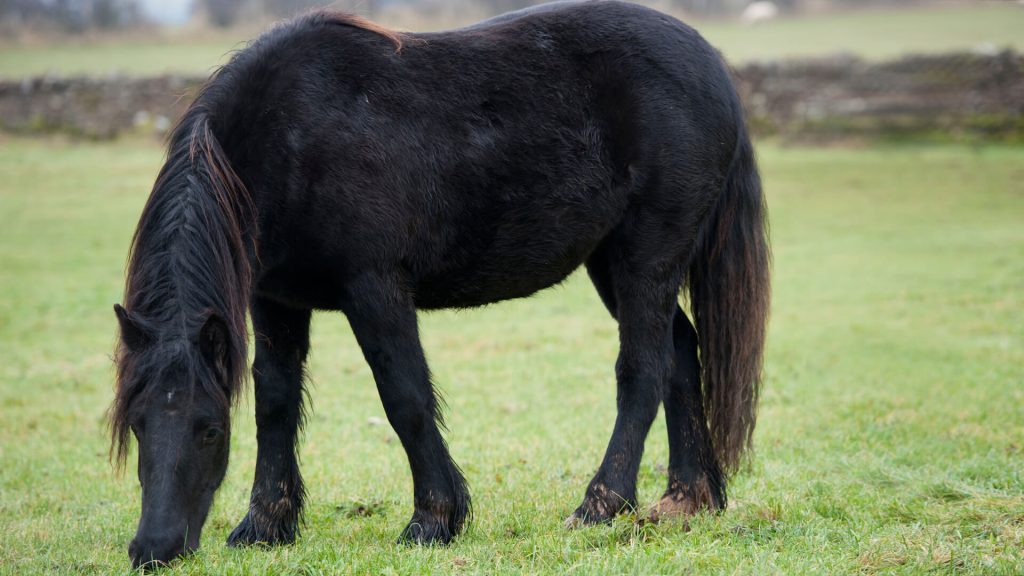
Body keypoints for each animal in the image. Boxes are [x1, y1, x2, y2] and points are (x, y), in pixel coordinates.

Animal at [110, 0, 770, 565]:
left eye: (209, 429)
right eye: (137, 424)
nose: (154, 549)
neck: (291, 133)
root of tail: (711, 67)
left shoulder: (375, 289)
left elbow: (404, 397)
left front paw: (434, 519)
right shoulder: (274, 300)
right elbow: (276, 401)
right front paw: (265, 526)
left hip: (644, 260)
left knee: (643, 371)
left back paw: (600, 505)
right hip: (613, 265)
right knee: (680, 352)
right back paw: (686, 499)